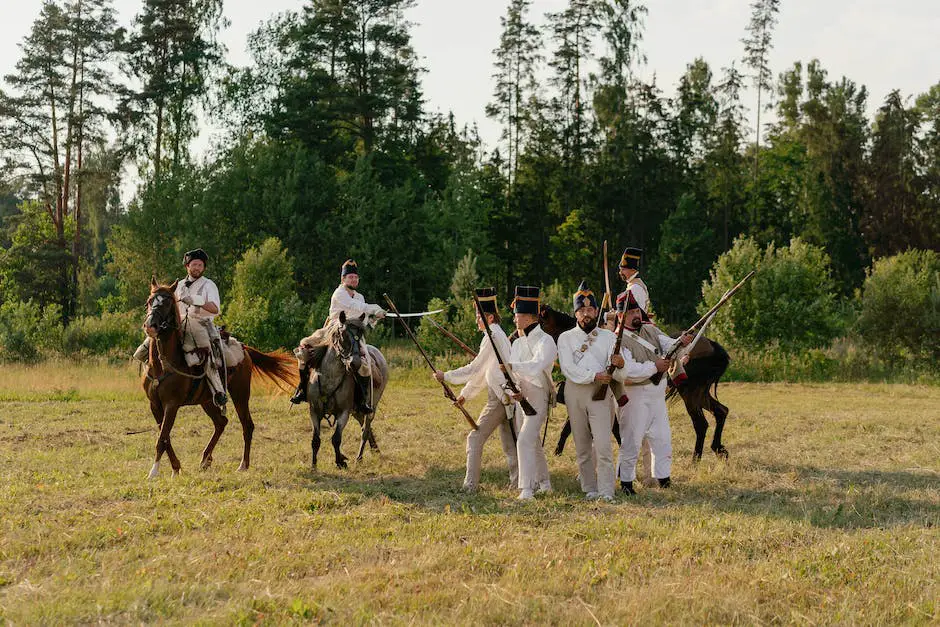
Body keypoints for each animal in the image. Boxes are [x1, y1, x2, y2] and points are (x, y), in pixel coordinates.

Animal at [141, 278, 296, 478]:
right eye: (149, 301)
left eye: (168, 302)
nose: (150, 326)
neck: (163, 364)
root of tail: (244, 349)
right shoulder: (155, 405)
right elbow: (165, 436)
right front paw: (176, 468)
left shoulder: (171, 404)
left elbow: (162, 437)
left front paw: (154, 471)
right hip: (207, 400)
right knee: (221, 422)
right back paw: (205, 459)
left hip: (240, 394)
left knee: (247, 425)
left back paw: (243, 464)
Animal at [304, 312, 386, 468]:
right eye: (343, 335)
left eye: (360, 335)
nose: (355, 363)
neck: (329, 379)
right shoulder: (314, 412)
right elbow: (315, 440)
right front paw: (314, 465)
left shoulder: (344, 413)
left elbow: (336, 438)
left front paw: (339, 461)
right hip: (357, 411)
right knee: (364, 427)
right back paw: (375, 449)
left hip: (371, 407)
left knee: (365, 429)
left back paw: (359, 457)